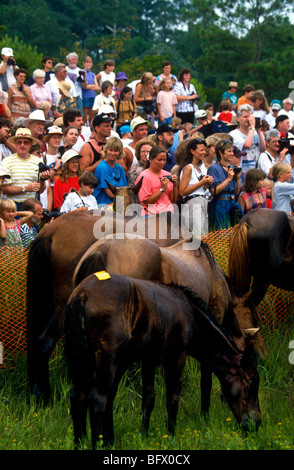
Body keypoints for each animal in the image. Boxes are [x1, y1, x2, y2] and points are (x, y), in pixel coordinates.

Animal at [63, 274, 260, 450]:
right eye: (250, 382)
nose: (256, 423)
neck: (189, 314)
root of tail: (82, 293)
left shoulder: (149, 360)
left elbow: (148, 399)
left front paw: (143, 436)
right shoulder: (176, 358)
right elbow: (172, 400)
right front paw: (171, 436)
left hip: (84, 361)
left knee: (79, 398)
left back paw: (83, 443)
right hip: (108, 361)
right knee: (98, 400)